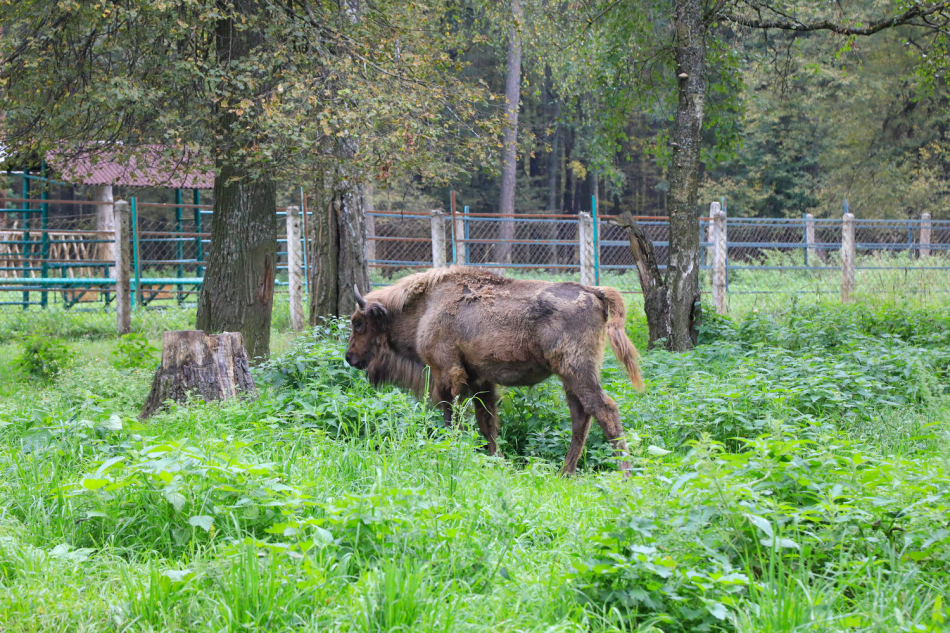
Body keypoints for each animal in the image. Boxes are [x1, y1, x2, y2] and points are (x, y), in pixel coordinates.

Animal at [344, 266, 648, 474]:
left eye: (358, 322)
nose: (350, 357)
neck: (426, 308)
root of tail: (594, 292)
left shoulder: (446, 374)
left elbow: (453, 418)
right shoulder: (481, 381)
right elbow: (487, 423)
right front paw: (496, 461)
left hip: (577, 371)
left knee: (604, 410)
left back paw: (624, 476)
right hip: (570, 377)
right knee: (581, 417)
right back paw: (565, 474)